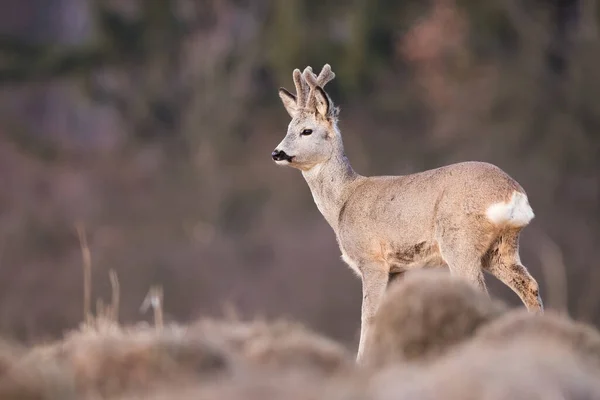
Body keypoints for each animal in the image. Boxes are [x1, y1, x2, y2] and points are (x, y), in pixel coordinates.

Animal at [272, 64, 544, 364]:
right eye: (288, 128)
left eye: (307, 131)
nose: (277, 153)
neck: (343, 200)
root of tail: (512, 192)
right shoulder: (398, 269)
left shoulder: (372, 259)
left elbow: (369, 315)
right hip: (500, 249)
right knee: (529, 285)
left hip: (459, 241)